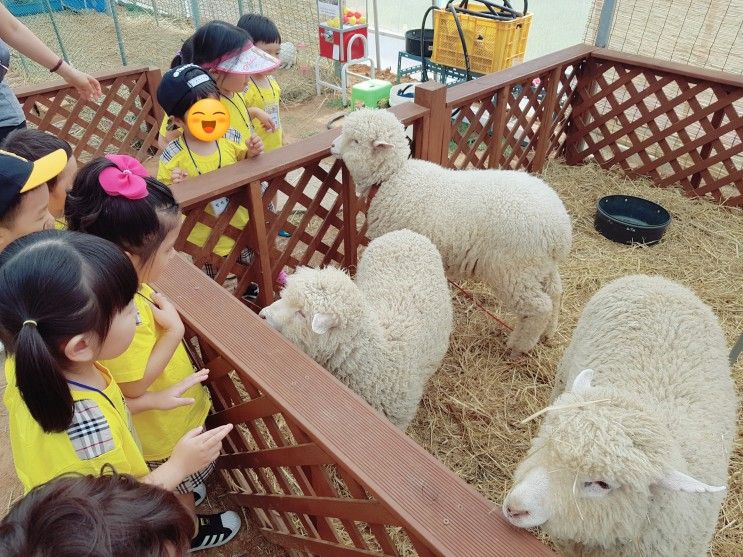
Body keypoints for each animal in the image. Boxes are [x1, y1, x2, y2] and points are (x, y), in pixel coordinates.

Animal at [332, 106, 576, 354]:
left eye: (355, 140)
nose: (332, 146)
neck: (393, 178)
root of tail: (561, 230)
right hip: (540, 267)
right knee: (556, 292)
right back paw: (548, 332)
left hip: (514, 271)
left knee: (539, 307)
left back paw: (518, 346)